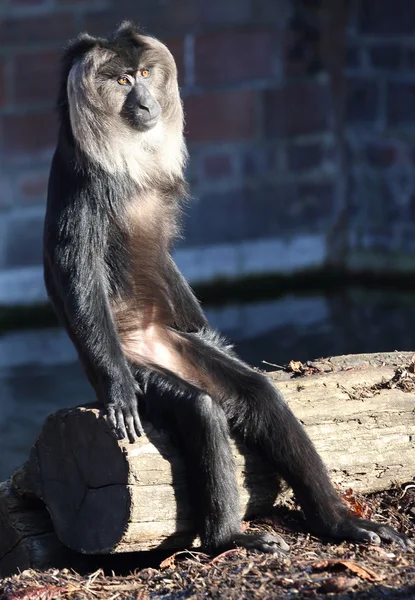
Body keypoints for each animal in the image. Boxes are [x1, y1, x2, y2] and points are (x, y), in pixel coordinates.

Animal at [44, 22, 414, 556]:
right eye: (120, 81)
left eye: (145, 75)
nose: (143, 101)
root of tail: (151, 342)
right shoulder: (84, 183)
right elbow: (77, 274)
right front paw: (116, 390)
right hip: (141, 363)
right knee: (200, 408)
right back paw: (226, 537)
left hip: (176, 342)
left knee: (258, 395)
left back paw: (338, 522)